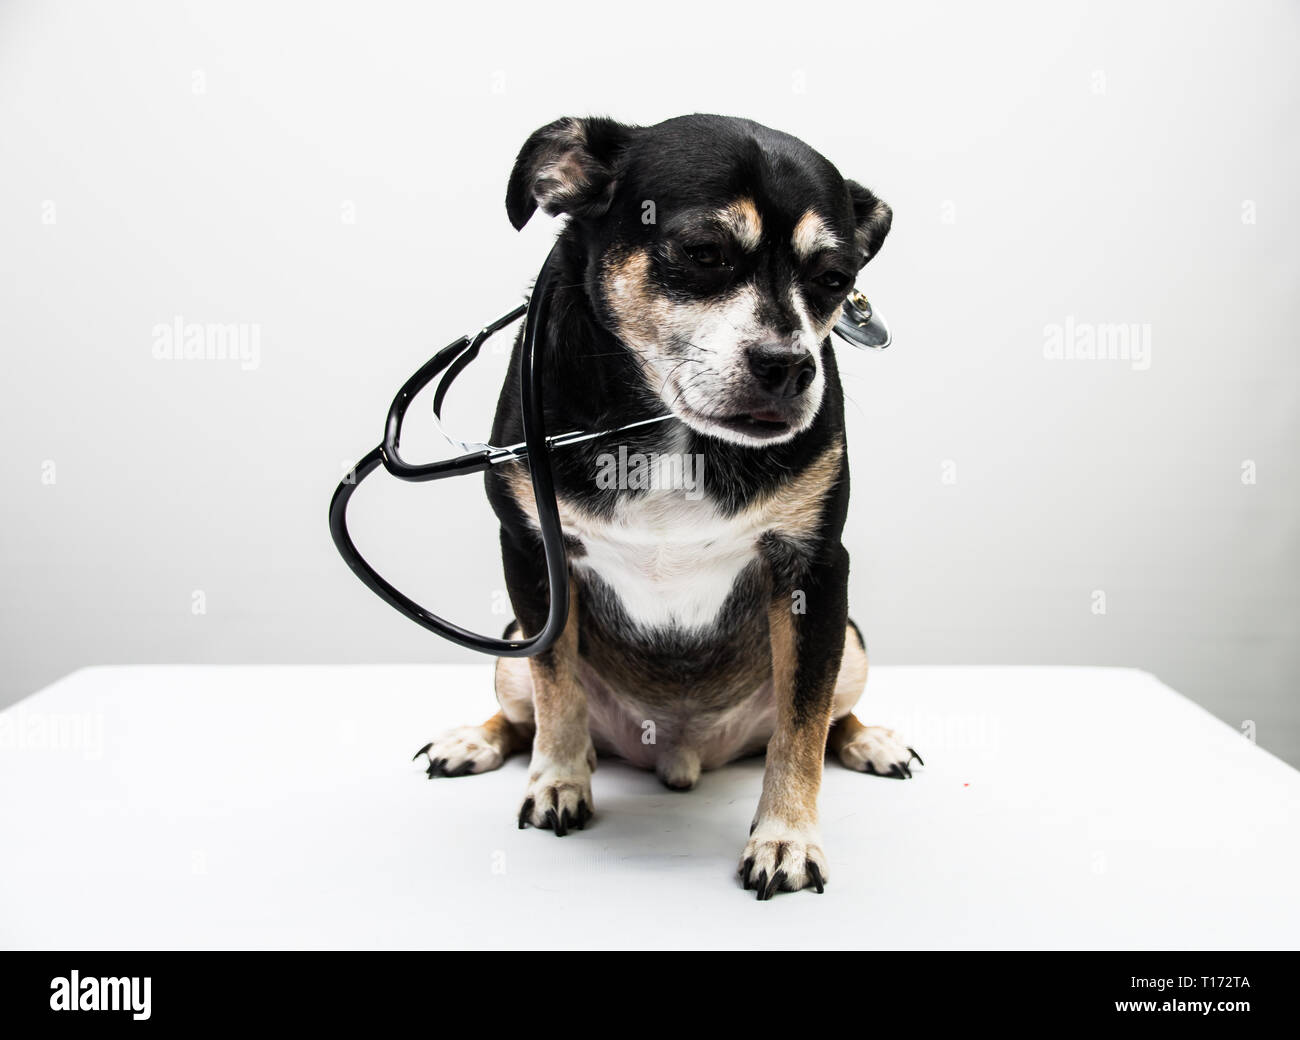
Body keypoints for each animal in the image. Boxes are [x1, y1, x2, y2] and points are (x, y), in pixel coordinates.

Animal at [413, 111, 915, 894]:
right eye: (702, 252)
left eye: (836, 281)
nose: (790, 365)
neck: (665, 426)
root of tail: (682, 752)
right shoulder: (531, 555)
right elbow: (556, 689)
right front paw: (559, 782)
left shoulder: (814, 571)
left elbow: (802, 723)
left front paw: (786, 836)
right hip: (508, 642)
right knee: (523, 709)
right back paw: (480, 740)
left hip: (853, 643)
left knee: (828, 714)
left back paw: (871, 741)